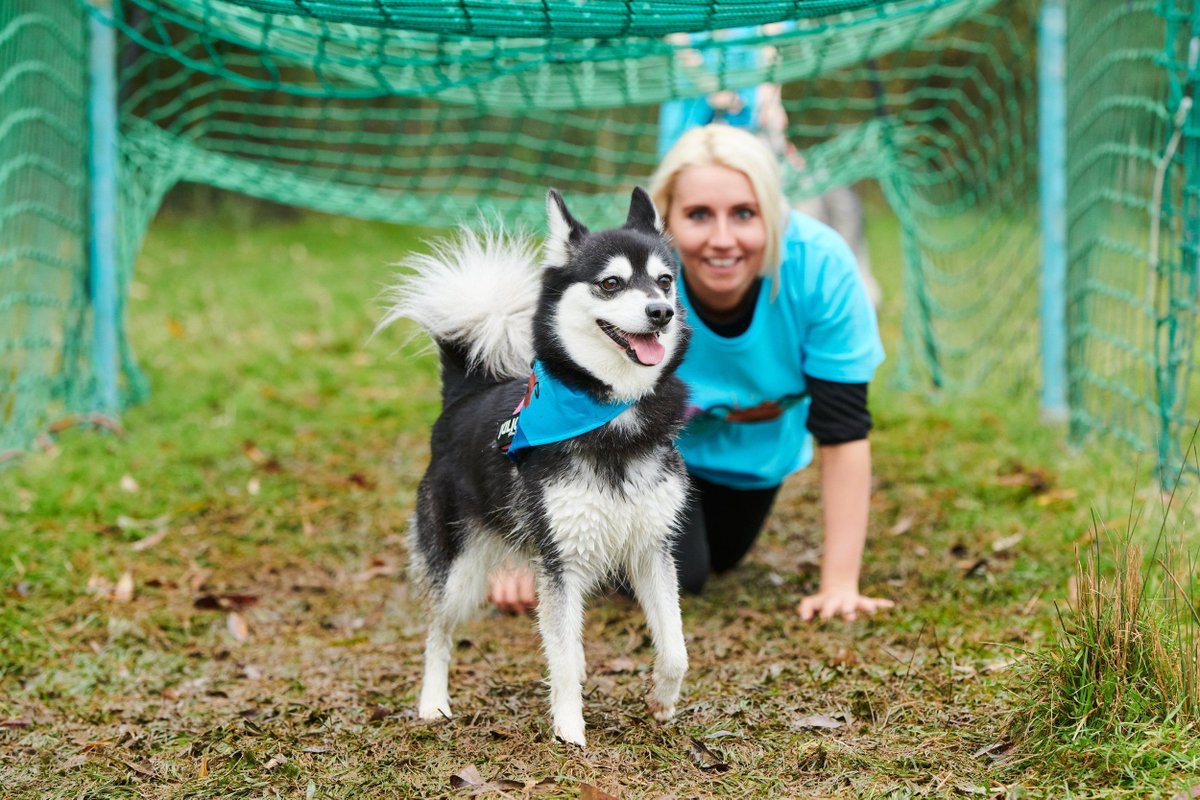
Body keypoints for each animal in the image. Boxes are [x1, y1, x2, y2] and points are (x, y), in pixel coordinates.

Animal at [379, 189, 691, 753]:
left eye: (664, 280)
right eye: (611, 283)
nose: (660, 313)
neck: (614, 419)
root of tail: (463, 396)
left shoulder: (652, 548)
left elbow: (676, 649)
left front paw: (662, 701)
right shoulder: (560, 562)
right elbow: (563, 661)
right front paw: (569, 730)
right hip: (458, 571)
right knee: (438, 632)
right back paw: (432, 702)